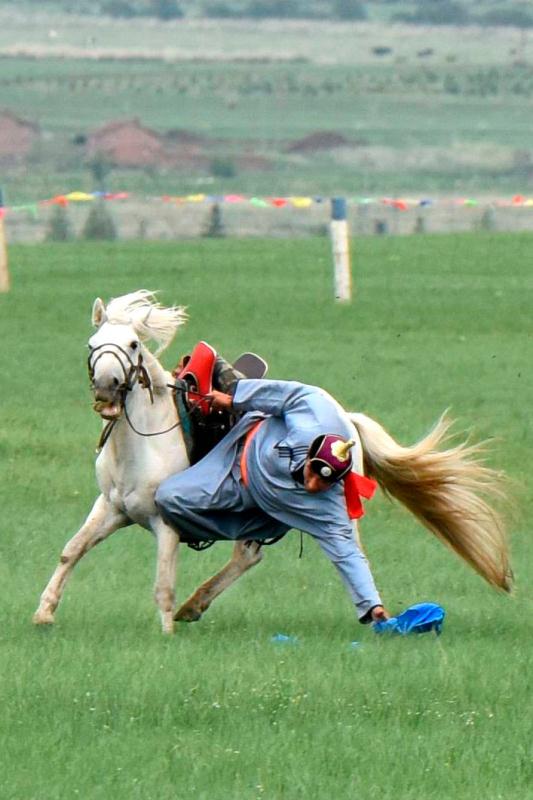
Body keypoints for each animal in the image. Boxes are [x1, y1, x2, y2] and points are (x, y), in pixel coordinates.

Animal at [34, 290, 512, 636]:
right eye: (92, 344)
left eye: (132, 344)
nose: (107, 387)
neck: (143, 443)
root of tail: (347, 422)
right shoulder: (111, 507)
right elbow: (71, 550)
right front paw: (44, 614)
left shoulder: (164, 521)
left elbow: (163, 581)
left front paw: (166, 631)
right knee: (248, 555)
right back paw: (196, 605)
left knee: (324, 552)